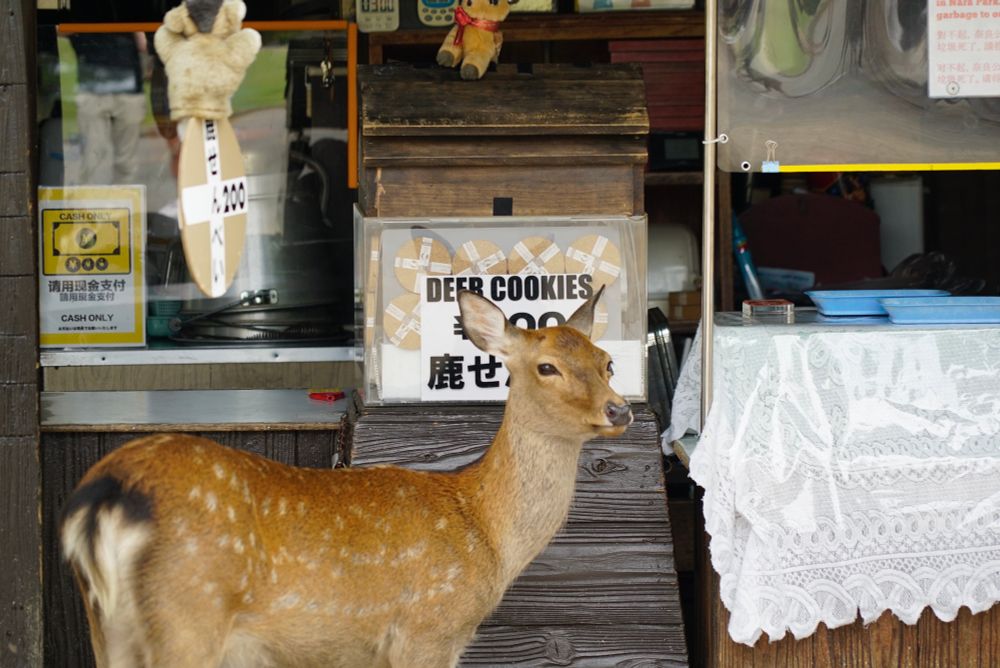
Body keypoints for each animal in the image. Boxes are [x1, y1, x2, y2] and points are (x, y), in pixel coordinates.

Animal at [60, 287, 633, 668]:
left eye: (607, 362)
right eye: (546, 367)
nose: (619, 409)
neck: (484, 528)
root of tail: (105, 495)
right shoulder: (427, 629)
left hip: (107, 625)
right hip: (188, 611)